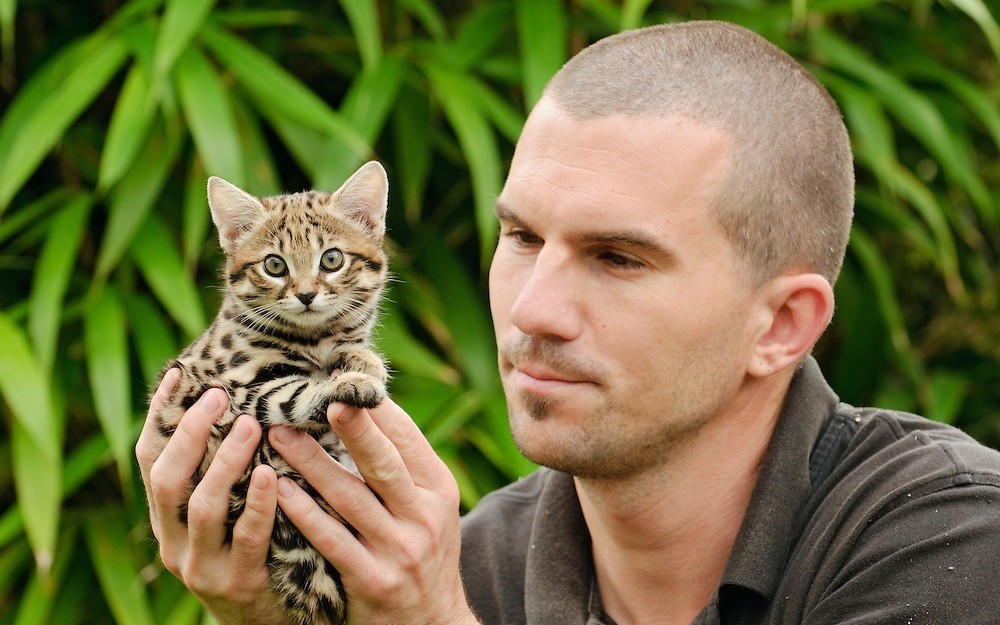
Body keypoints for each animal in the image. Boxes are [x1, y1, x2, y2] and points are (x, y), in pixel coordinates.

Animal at [153, 160, 390, 624]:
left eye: (331, 259)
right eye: (274, 265)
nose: (306, 294)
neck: (315, 338)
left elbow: (352, 350)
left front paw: (364, 364)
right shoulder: (243, 386)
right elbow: (298, 394)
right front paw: (350, 384)